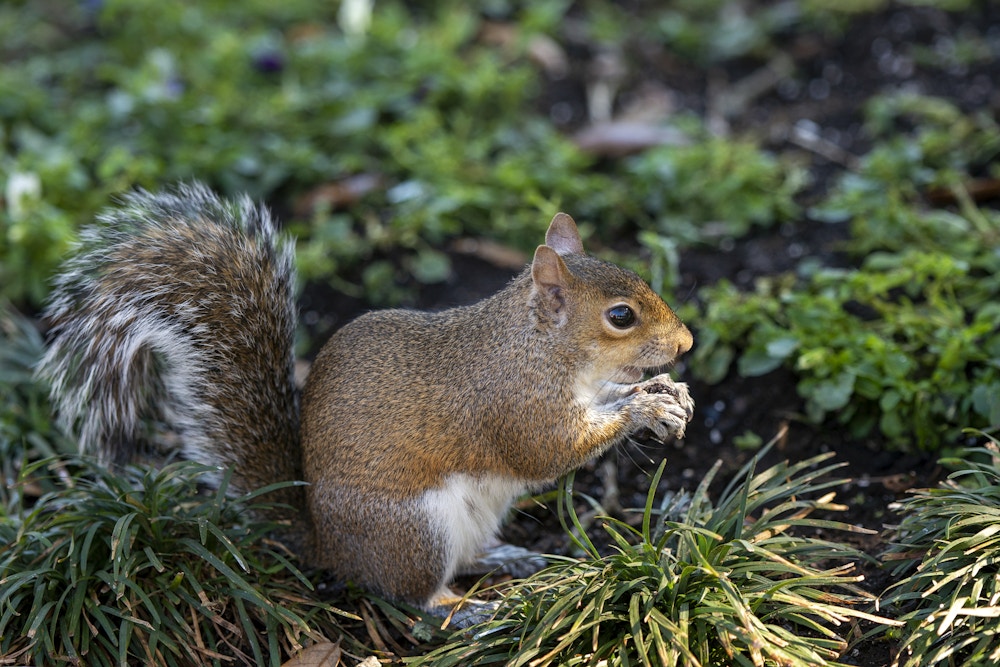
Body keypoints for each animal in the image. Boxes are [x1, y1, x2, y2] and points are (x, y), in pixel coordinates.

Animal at [39, 183, 696, 620]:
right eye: (620, 316)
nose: (687, 343)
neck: (536, 347)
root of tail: (327, 546)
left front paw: (663, 392)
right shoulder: (512, 406)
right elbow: (547, 453)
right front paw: (643, 409)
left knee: (468, 557)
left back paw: (510, 558)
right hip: (415, 531)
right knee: (412, 596)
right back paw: (465, 612)